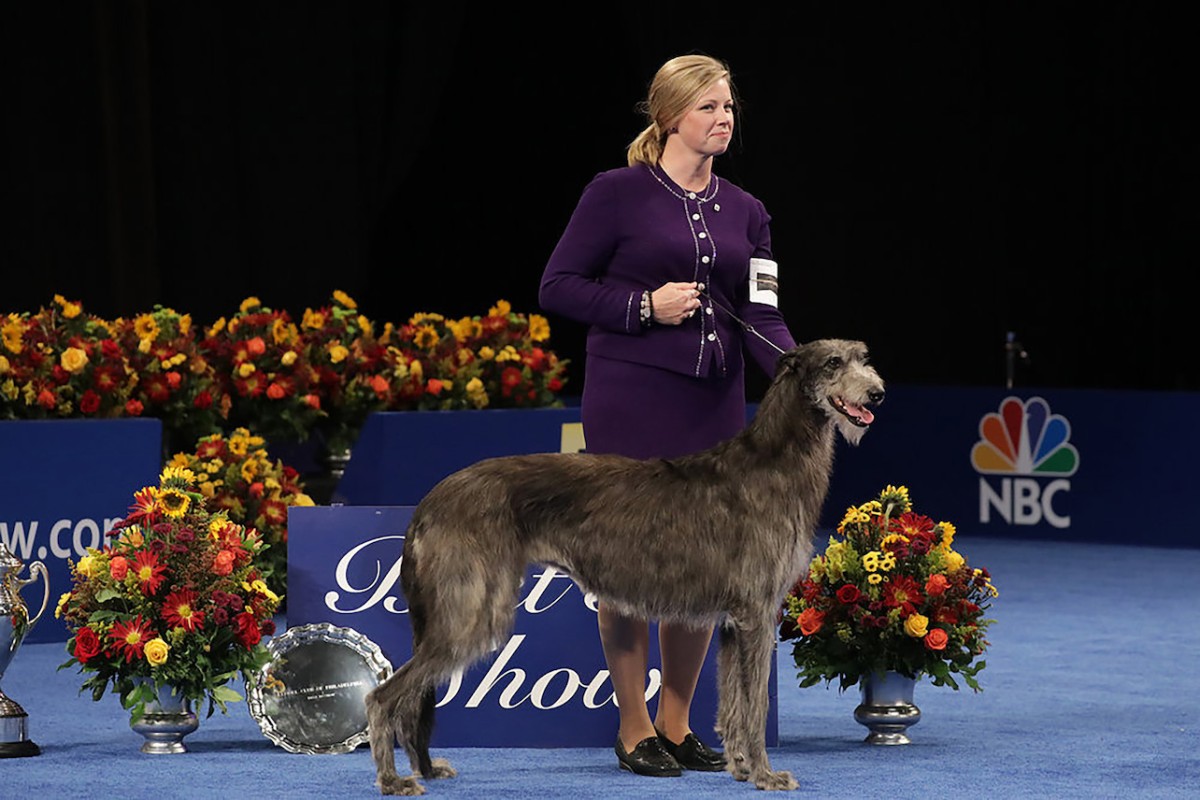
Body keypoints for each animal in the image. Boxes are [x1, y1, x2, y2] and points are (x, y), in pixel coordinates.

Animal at [362, 338, 883, 796]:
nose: (877, 392)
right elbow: (755, 707)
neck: (773, 460)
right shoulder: (757, 615)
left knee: (412, 697)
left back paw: (424, 767)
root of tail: (430, 502)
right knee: (383, 697)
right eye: (833, 363)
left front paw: (739, 767)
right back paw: (392, 780)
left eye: (863, 357)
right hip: (471, 611)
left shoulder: (736, 621)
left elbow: (735, 705)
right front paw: (765, 775)